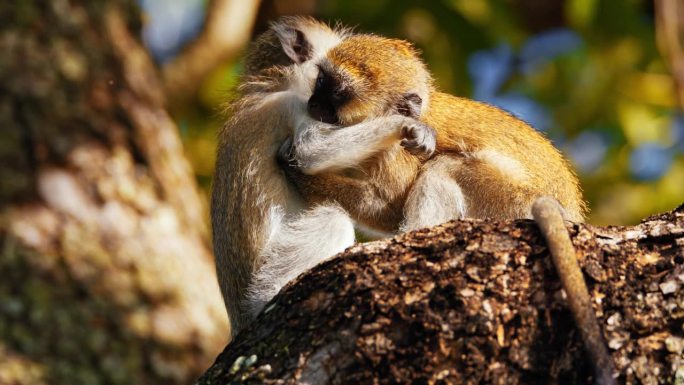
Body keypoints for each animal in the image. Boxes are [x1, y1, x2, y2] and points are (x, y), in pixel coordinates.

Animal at [280, 33, 616, 384]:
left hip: (508, 197)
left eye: (338, 93)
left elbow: (388, 207)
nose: (313, 103)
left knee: (444, 167)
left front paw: (300, 174)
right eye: (321, 80)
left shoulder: (396, 149)